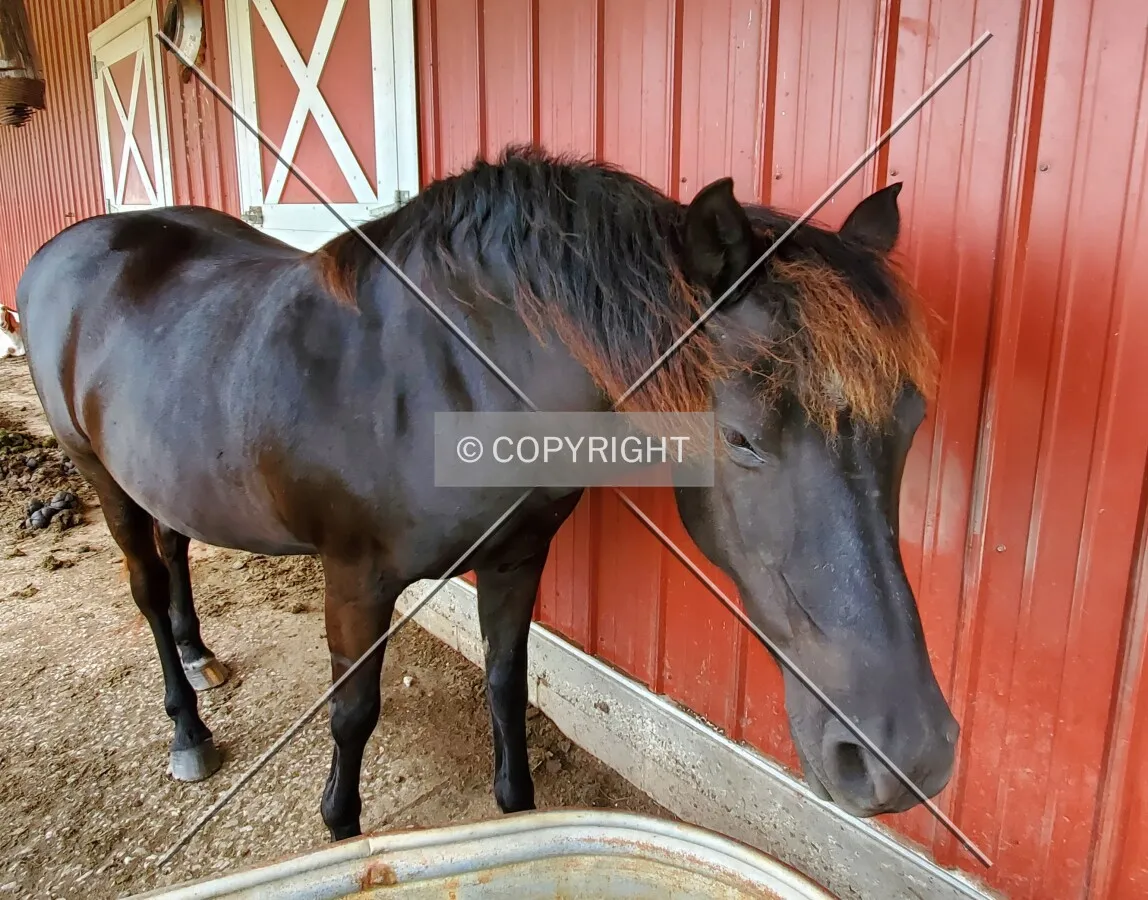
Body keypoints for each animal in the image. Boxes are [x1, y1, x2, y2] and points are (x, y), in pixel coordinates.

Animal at [17, 146, 958, 841]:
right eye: (741, 437)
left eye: (912, 420)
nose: (908, 754)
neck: (442, 379)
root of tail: (67, 246)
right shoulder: (354, 580)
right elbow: (353, 713)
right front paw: (341, 828)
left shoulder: (516, 557)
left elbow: (508, 683)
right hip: (97, 475)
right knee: (145, 588)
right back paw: (187, 729)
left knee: (176, 549)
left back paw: (201, 654)